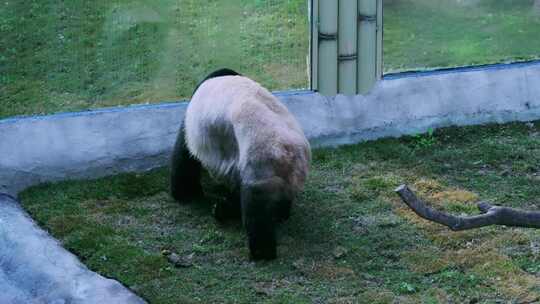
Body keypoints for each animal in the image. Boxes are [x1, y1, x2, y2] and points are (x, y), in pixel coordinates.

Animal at [171, 68, 310, 258]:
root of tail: (286, 151)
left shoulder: (194, 126)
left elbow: (184, 158)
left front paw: (185, 194)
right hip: (289, 173)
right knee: (278, 199)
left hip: (260, 160)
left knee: (255, 209)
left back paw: (261, 251)